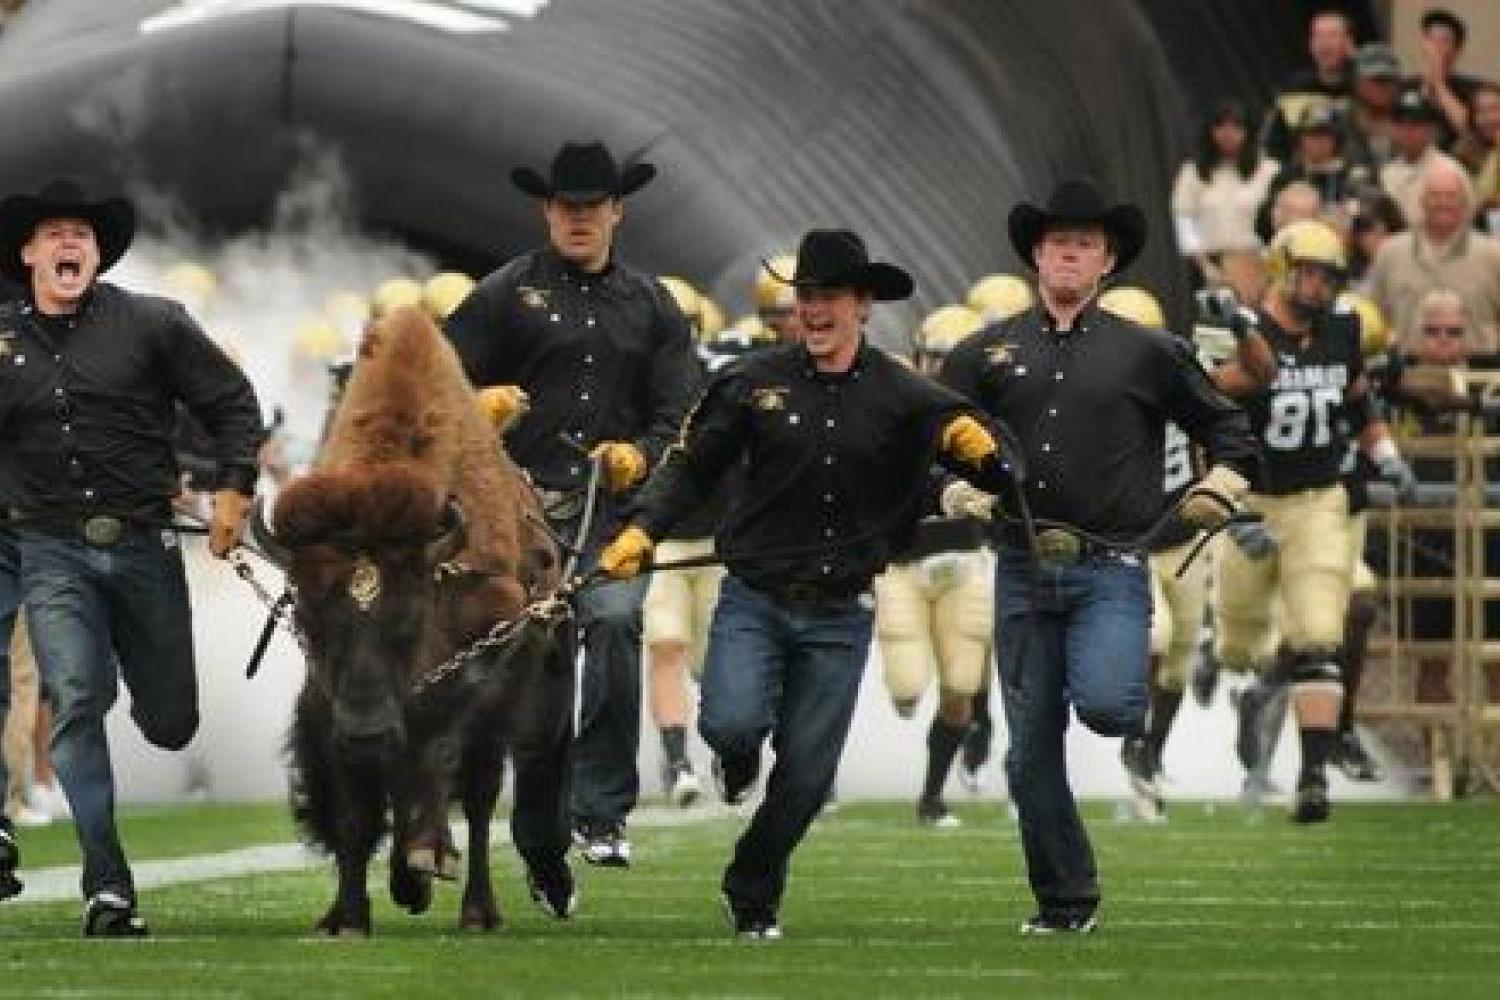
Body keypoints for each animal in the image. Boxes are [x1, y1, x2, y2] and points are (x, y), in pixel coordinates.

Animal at [252, 305, 573, 941]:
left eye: (409, 618)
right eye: (307, 615)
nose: (366, 731)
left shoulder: (479, 676)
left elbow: (437, 762)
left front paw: (426, 861)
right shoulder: (329, 707)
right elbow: (355, 814)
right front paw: (349, 917)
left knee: (477, 798)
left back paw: (472, 905)